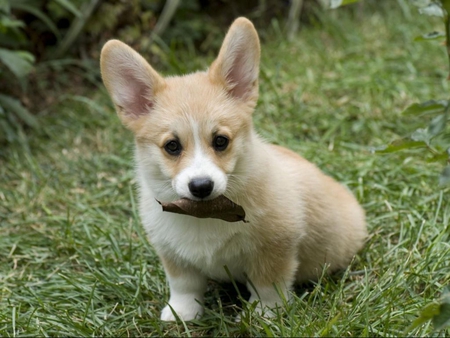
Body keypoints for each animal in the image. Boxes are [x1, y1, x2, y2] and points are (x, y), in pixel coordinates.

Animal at [100, 16, 368, 322]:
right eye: (172, 146)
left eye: (221, 141)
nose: (201, 186)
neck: (205, 215)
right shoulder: (172, 253)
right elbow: (184, 285)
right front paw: (181, 313)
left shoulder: (275, 247)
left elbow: (267, 285)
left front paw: (264, 315)